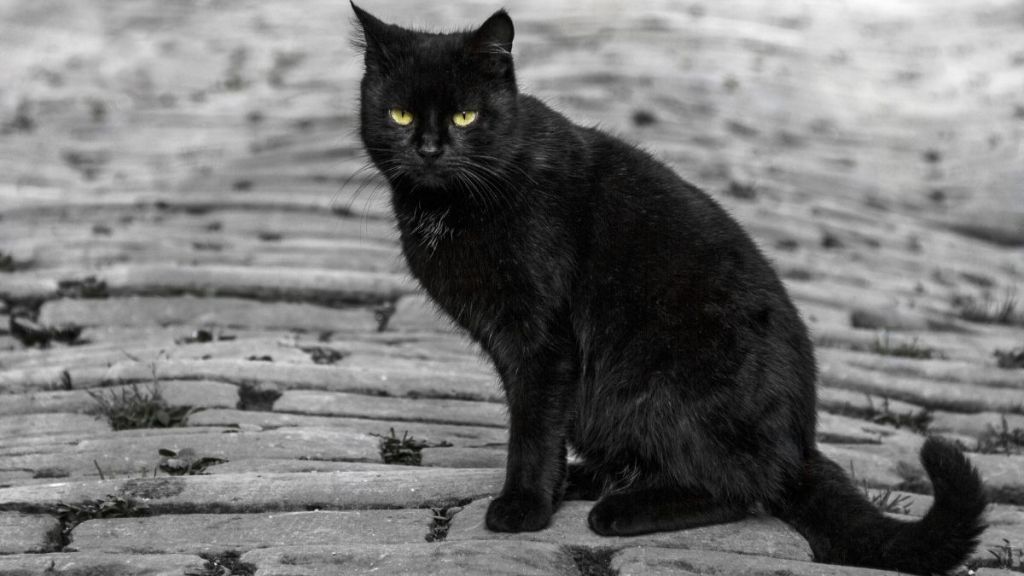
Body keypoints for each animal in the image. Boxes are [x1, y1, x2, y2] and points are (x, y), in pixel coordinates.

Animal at [350, 5, 983, 573]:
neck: (448, 210)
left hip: (669, 387)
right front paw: (544, 491)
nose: (429, 149)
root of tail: (802, 446)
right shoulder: (513, 347)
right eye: (401, 114)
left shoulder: (541, 341)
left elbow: (532, 426)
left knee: (741, 487)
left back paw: (620, 510)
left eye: (464, 117)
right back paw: (588, 480)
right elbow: (539, 424)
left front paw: (524, 507)